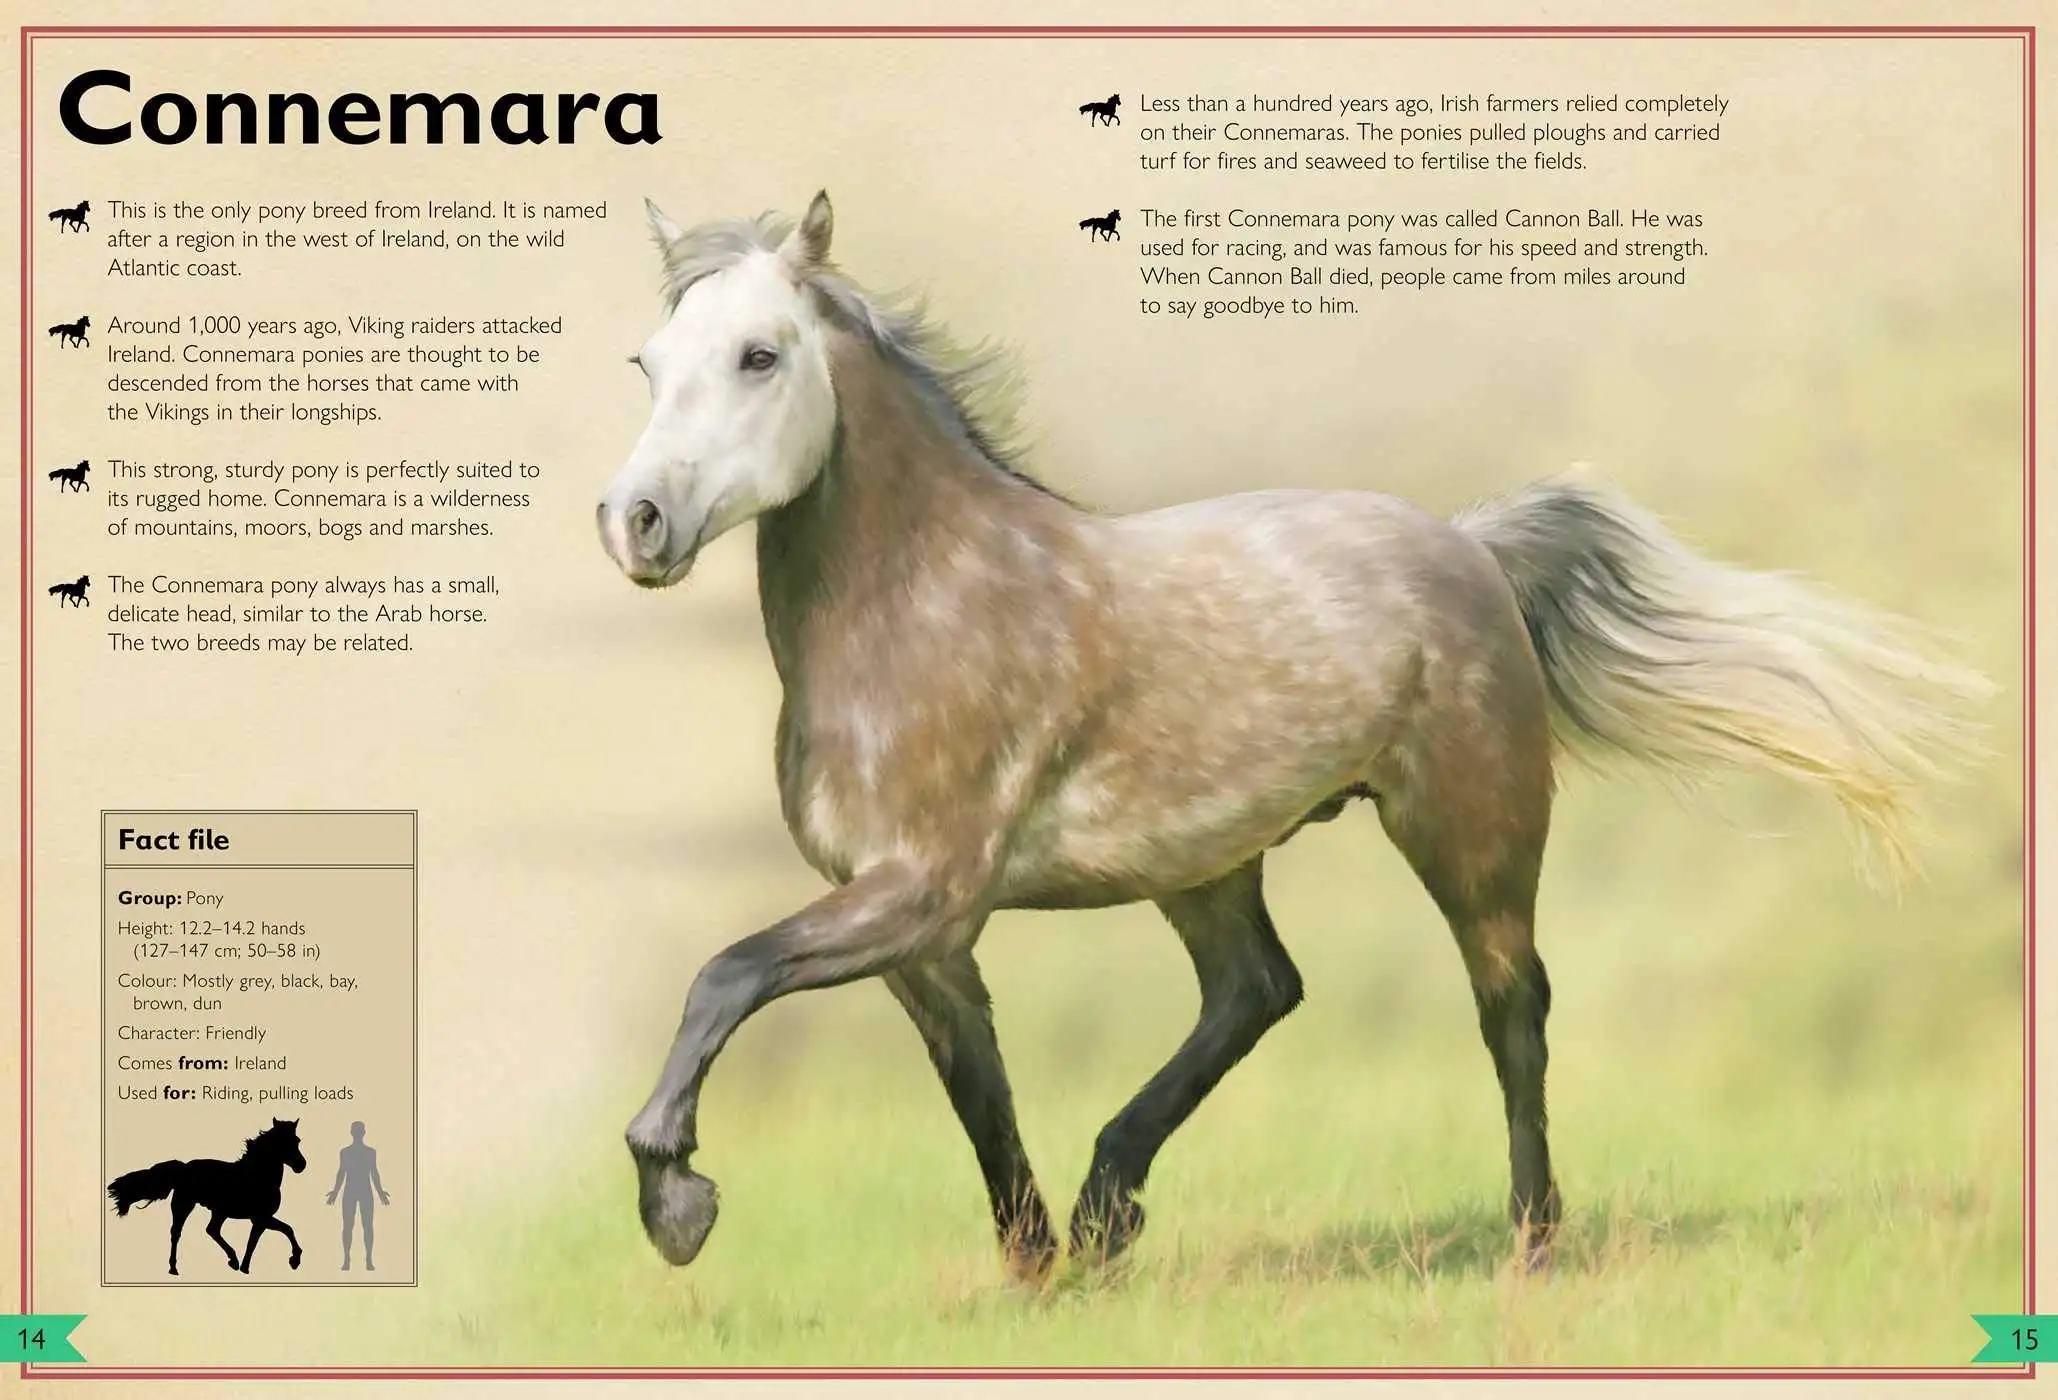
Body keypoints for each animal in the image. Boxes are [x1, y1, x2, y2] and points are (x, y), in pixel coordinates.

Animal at [107, 1118, 308, 1275]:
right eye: (282, 1142)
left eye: (297, 1140)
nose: (301, 1165)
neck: (258, 1176)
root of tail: (184, 1167)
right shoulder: (261, 1218)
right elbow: (285, 1231)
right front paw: (294, 1261)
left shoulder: (259, 1220)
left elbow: (258, 1240)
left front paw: (245, 1268)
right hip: (184, 1205)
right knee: (177, 1232)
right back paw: (174, 1268)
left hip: (218, 1211)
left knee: (212, 1230)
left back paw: (233, 1261)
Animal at [596, 190, 1990, 1281]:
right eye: (650, 362)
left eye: (760, 355)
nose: (636, 522)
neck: (928, 604)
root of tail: (1470, 547)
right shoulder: (919, 933)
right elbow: (975, 1089)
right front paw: (1038, 1267)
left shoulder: (924, 891)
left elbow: (725, 972)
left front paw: (676, 1202)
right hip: (1206, 862)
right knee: (1259, 989)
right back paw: (1110, 1208)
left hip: (1468, 832)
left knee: (1513, 1008)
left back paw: (1533, 1242)